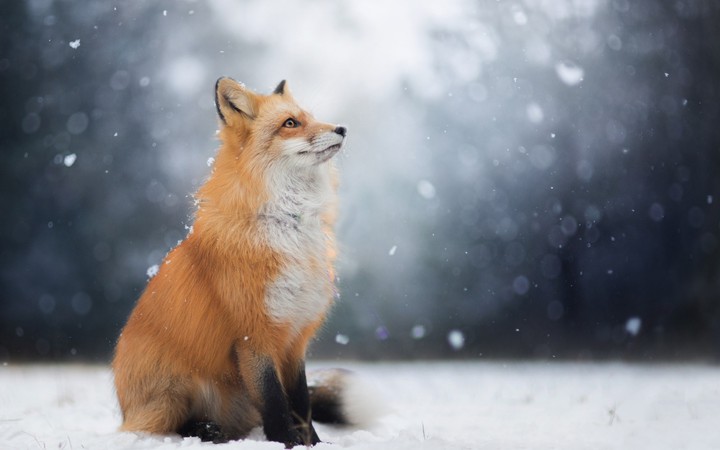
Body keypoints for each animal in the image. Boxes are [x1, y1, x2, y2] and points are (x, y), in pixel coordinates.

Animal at [112, 77, 355, 447]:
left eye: (311, 117)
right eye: (290, 123)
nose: (341, 128)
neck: (288, 225)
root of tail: (125, 407)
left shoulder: (294, 337)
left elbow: (301, 402)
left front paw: (313, 443)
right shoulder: (253, 335)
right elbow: (275, 402)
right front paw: (285, 443)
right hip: (174, 390)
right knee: (164, 426)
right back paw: (204, 430)